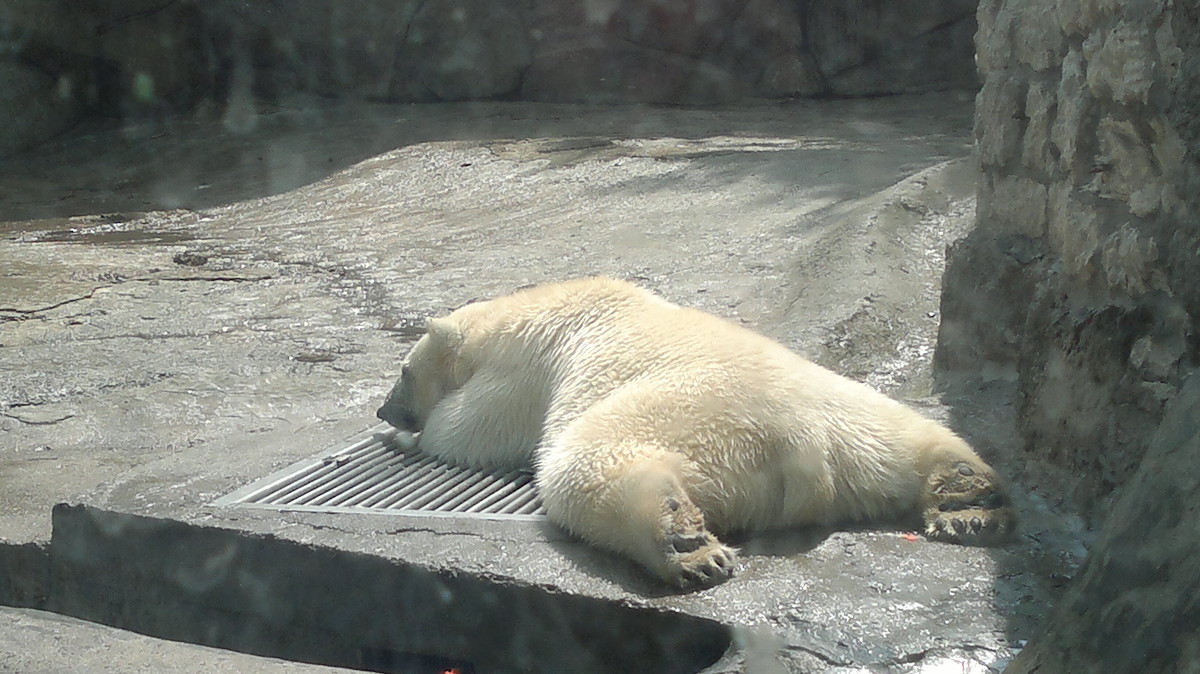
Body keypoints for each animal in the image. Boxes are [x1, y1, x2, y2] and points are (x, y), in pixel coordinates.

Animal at [374, 275, 1012, 585]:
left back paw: (685, 546)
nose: (383, 412)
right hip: (857, 419)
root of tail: (806, 446)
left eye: (402, 372)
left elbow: (468, 432)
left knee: (586, 465)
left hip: (689, 418)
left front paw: (405, 437)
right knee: (917, 440)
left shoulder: (522, 369)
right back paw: (969, 501)